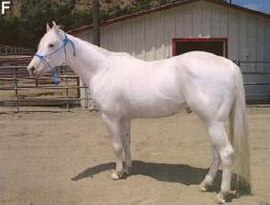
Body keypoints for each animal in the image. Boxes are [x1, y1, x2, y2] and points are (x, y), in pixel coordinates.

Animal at [27, 22, 251, 203]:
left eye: (51, 45)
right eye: (41, 43)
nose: (31, 69)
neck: (103, 69)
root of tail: (229, 65)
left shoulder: (110, 117)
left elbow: (117, 146)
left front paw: (117, 173)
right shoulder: (124, 117)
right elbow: (126, 143)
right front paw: (128, 169)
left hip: (214, 123)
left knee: (226, 153)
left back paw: (221, 194)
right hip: (213, 122)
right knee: (216, 154)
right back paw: (205, 184)